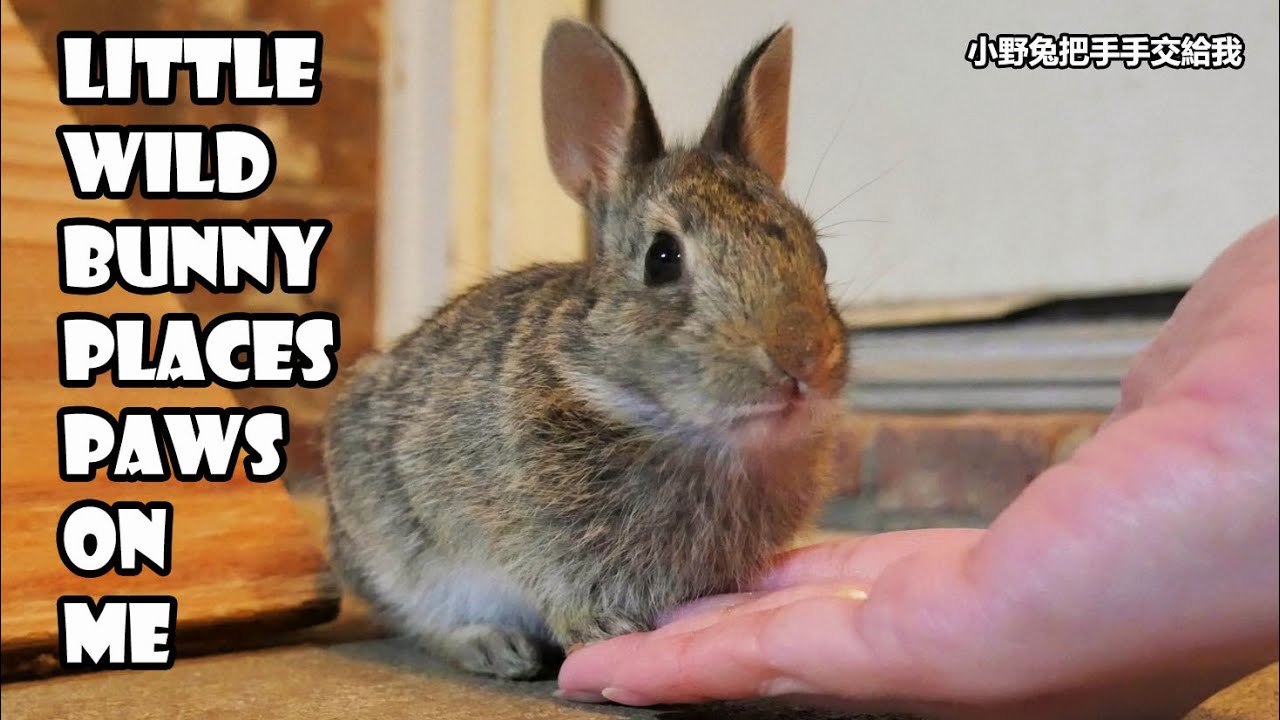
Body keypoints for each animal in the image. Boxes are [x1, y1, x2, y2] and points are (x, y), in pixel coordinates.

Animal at [323, 19, 850, 681]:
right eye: (662, 258)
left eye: (819, 254)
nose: (801, 363)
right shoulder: (536, 534)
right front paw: (600, 629)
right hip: (397, 550)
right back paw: (496, 647)